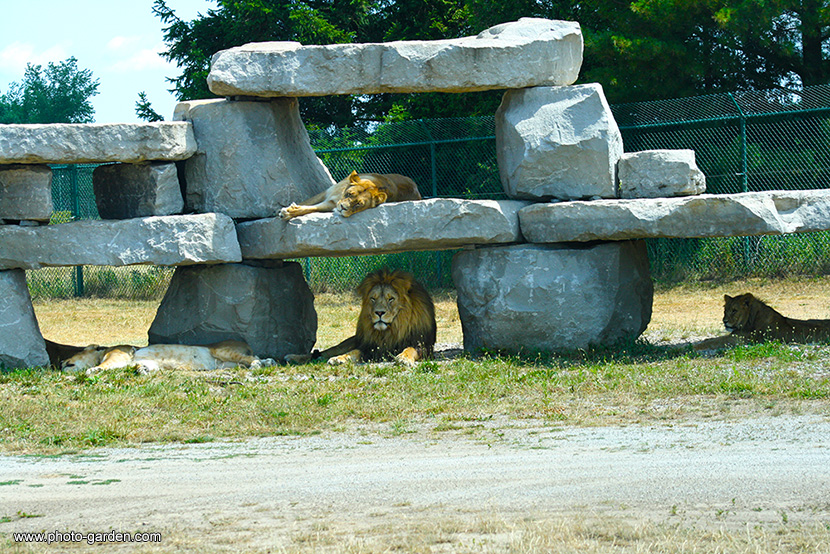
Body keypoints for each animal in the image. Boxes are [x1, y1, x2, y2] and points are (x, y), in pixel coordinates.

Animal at [280, 169, 422, 219]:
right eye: (349, 194)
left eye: (359, 204)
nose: (343, 208)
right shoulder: (327, 193)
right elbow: (308, 202)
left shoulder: (330, 204)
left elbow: (310, 208)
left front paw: (289, 212)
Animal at [286, 268, 438, 366]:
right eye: (373, 298)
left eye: (391, 299)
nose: (379, 313)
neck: (392, 329)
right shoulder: (369, 347)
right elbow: (354, 351)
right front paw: (339, 358)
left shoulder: (423, 345)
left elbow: (410, 349)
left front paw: (403, 358)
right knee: (323, 352)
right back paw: (293, 357)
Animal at [700, 292, 830, 348]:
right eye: (725, 310)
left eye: (734, 310)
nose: (724, 321)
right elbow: (711, 339)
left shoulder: (738, 339)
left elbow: (713, 342)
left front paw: (694, 347)